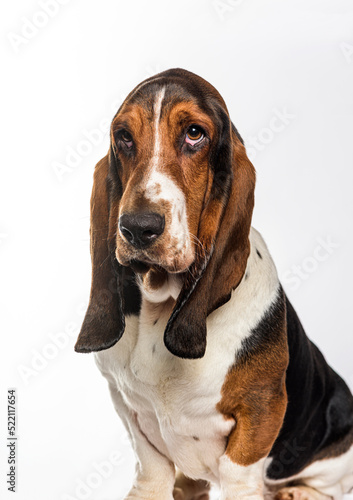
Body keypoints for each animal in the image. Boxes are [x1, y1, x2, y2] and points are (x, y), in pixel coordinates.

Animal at [75, 68, 352, 498]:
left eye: (194, 133)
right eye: (123, 136)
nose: (137, 227)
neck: (163, 307)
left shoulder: (261, 410)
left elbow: (240, 471)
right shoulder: (127, 406)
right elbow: (151, 467)